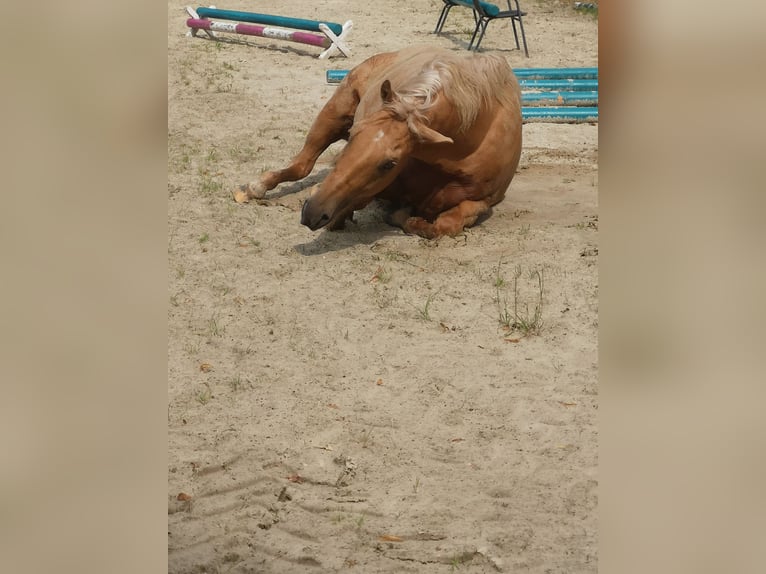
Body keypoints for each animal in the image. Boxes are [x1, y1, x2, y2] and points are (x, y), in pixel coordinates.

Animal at [233, 46, 522, 239]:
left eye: (389, 163)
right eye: (354, 134)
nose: (312, 212)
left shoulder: (486, 200)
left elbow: (444, 225)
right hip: (334, 112)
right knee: (302, 164)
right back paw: (257, 187)